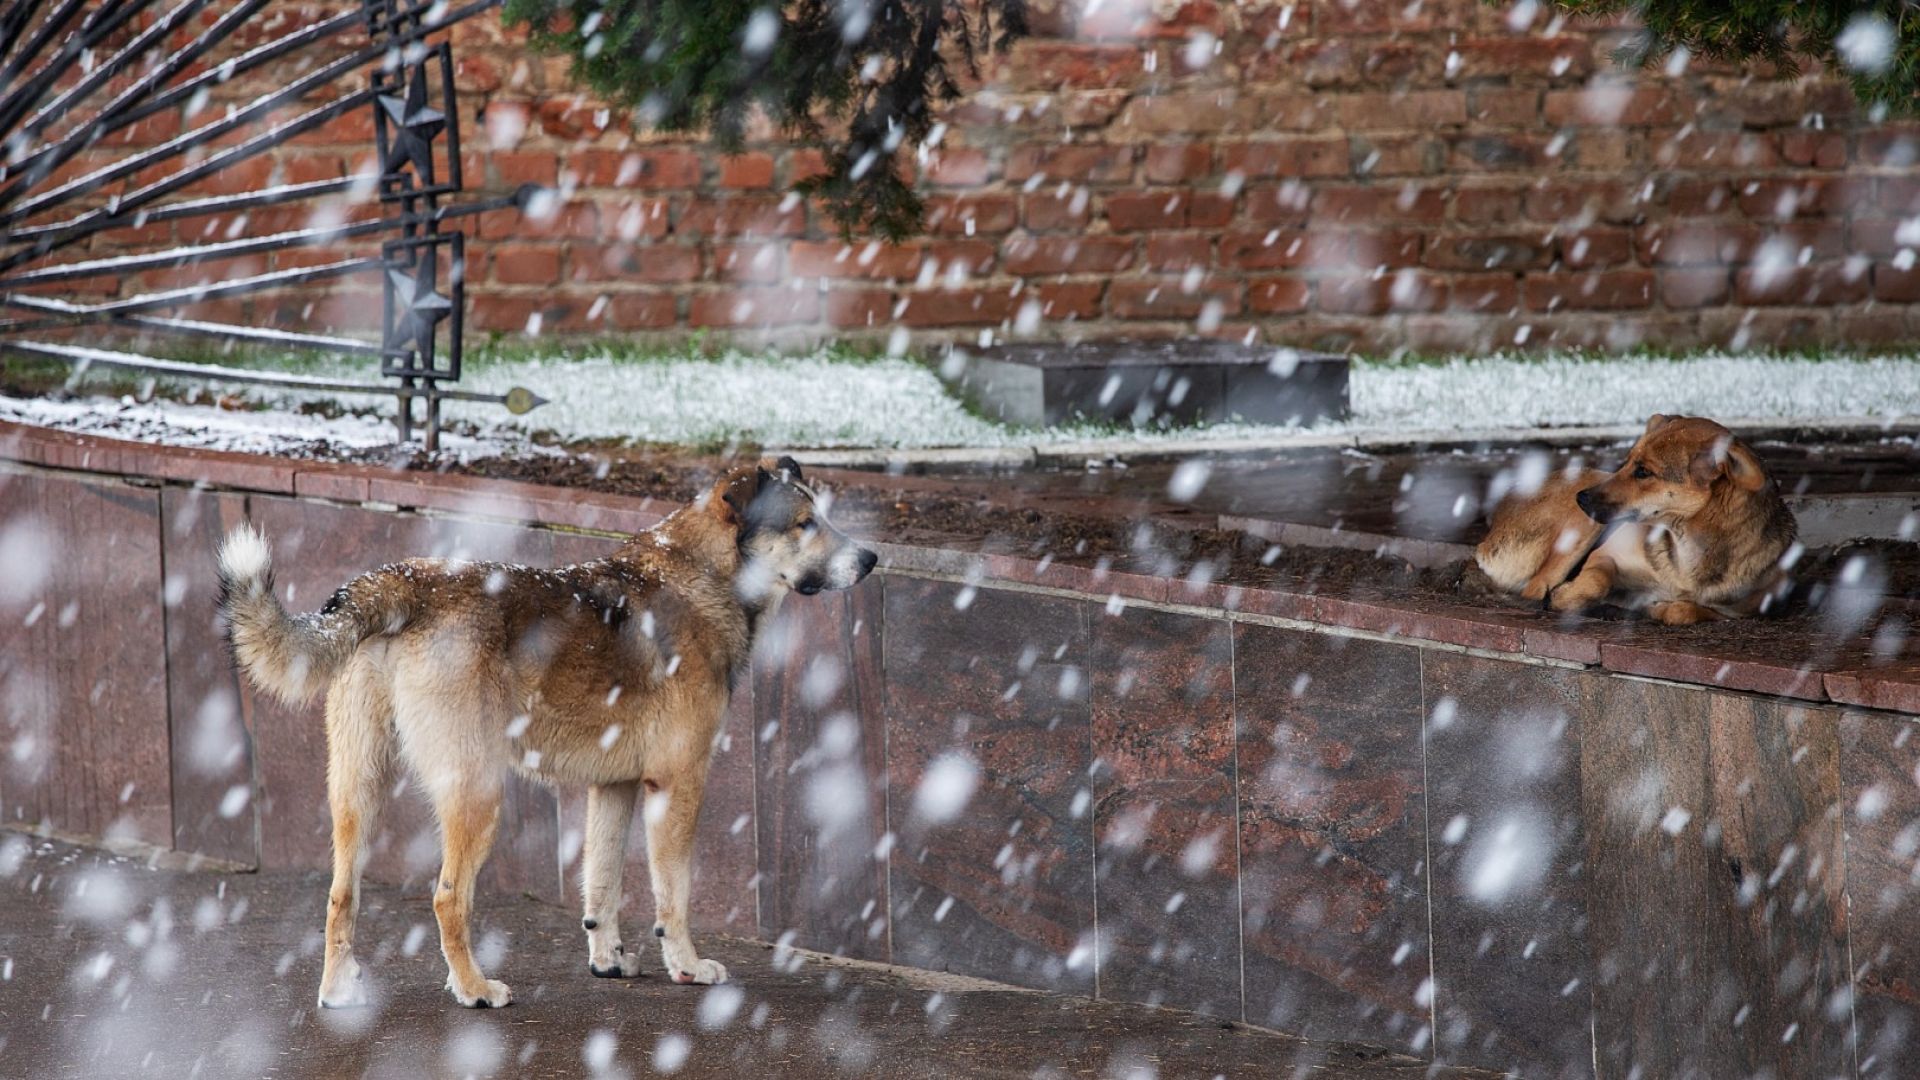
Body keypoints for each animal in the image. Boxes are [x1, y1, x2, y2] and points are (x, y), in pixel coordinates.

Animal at [216, 455, 871, 1006]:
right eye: (805, 523)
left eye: (824, 516)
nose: (869, 559)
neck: (706, 576)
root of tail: (402, 583)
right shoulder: (678, 783)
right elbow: (674, 894)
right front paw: (686, 965)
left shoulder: (614, 788)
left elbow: (601, 886)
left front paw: (607, 961)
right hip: (477, 791)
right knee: (447, 897)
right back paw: (473, 988)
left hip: (359, 788)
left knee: (340, 894)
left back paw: (337, 990)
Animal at [1466, 417, 1797, 626]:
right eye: (1626, 463)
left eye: (1643, 472)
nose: (1581, 498)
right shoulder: (1606, 553)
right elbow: (1596, 580)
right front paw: (1566, 596)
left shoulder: (1746, 610)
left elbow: (1685, 612)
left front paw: (1662, 609)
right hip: (1584, 520)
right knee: (1536, 587)